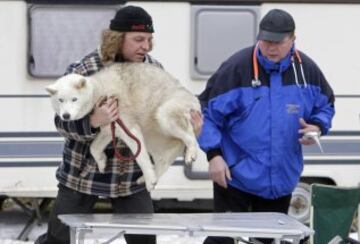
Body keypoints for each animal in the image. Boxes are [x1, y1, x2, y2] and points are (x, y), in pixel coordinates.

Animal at [45, 62, 200, 191]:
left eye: (74, 99)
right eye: (60, 100)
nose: (65, 116)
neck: (99, 92)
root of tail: (194, 100)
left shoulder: (129, 127)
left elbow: (141, 158)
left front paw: (150, 181)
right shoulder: (109, 129)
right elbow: (93, 147)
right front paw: (102, 163)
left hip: (163, 114)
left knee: (190, 136)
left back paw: (190, 154)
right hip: (152, 137)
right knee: (164, 159)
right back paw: (146, 178)